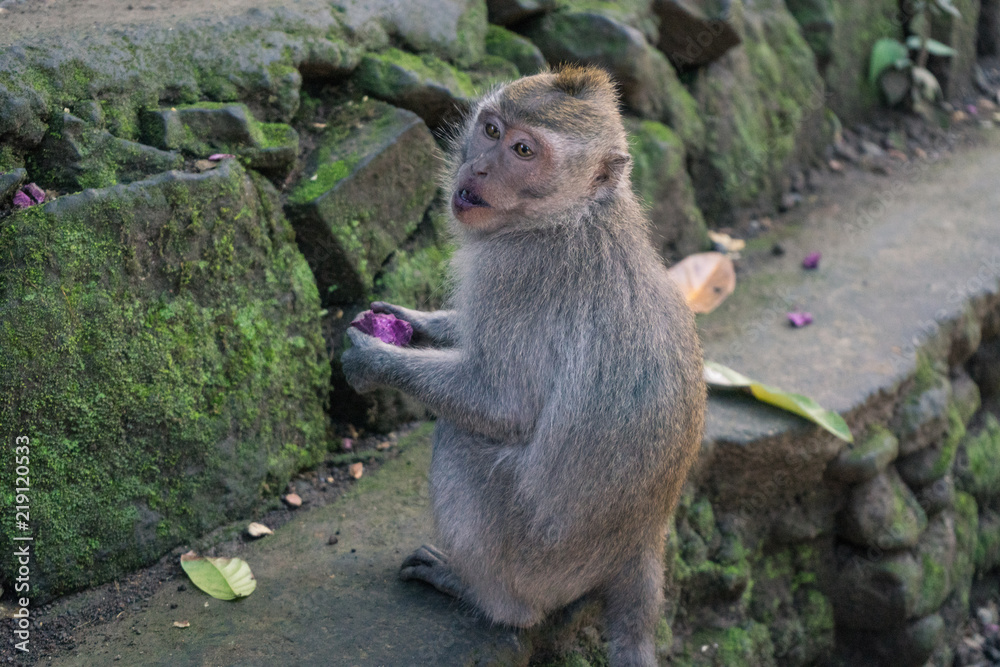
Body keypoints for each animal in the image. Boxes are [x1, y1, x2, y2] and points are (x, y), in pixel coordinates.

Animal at [341, 65, 706, 666]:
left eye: (523, 150)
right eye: (490, 130)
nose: (479, 167)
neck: (576, 212)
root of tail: (642, 543)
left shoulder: (516, 274)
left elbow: (501, 405)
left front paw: (373, 358)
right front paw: (413, 321)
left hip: (537, 559)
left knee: (460, 439)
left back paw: (482, 596)